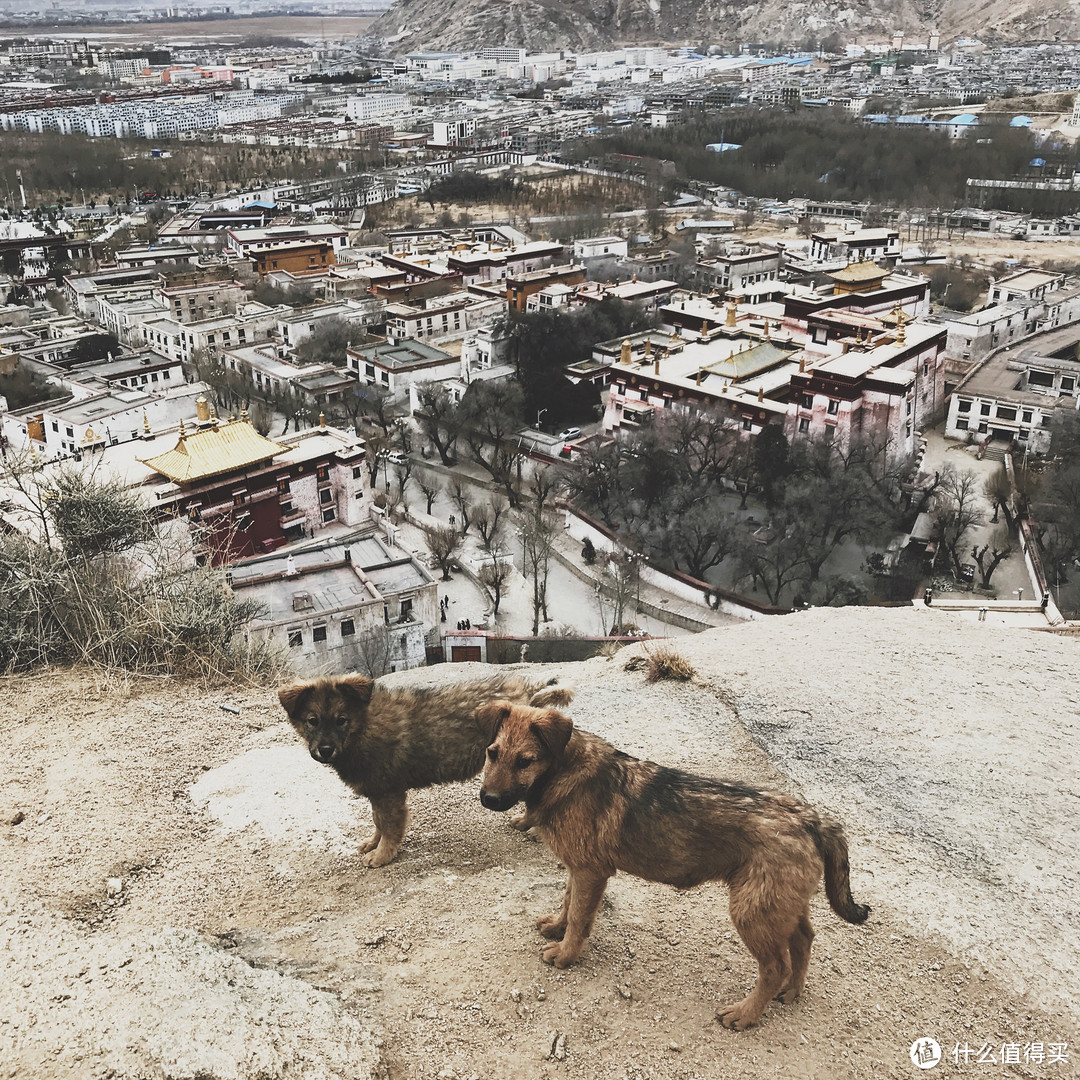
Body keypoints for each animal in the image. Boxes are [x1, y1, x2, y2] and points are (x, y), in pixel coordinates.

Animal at [278, 669, 574, 864]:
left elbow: (389, 826)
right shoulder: (377, 791)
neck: (363, 727)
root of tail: (530, 697)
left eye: (341, 720)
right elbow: (377, 822)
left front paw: (382, 855)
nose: (325, 750)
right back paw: (525, 823)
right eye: (312, 721)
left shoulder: (388, 793)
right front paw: (373, 844)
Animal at [477, 699, 872, 1028]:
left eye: (525, 761)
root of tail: (812, 819)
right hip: (779, 904)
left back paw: (746, 1014)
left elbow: (579, 917)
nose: (489, 800)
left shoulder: (591, 871)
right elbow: (568, 902)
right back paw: (792, 990)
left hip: (753, 910)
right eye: (492, 753)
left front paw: (566, 953)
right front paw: (557, 928)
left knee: (775, 967)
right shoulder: (579, 867)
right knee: (804, 939)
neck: (562, 770)